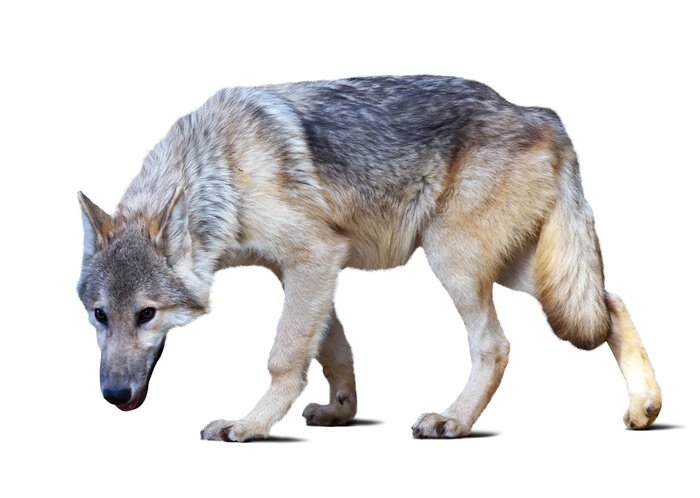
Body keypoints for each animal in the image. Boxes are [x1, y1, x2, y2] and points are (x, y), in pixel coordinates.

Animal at [77, 75, 661, 441]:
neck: (221, 171)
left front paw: (251, 426)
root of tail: (544, 114)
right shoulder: (305, 271)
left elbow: (284, 357)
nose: (112, 393)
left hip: (454, 262)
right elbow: (333, 351)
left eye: (147, 314)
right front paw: (343, 412)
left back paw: (453, 420)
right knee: (610, 301)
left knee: (496, 345)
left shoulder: (314, 256)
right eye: (100, 315)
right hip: (520, 271)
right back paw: (646, 408)